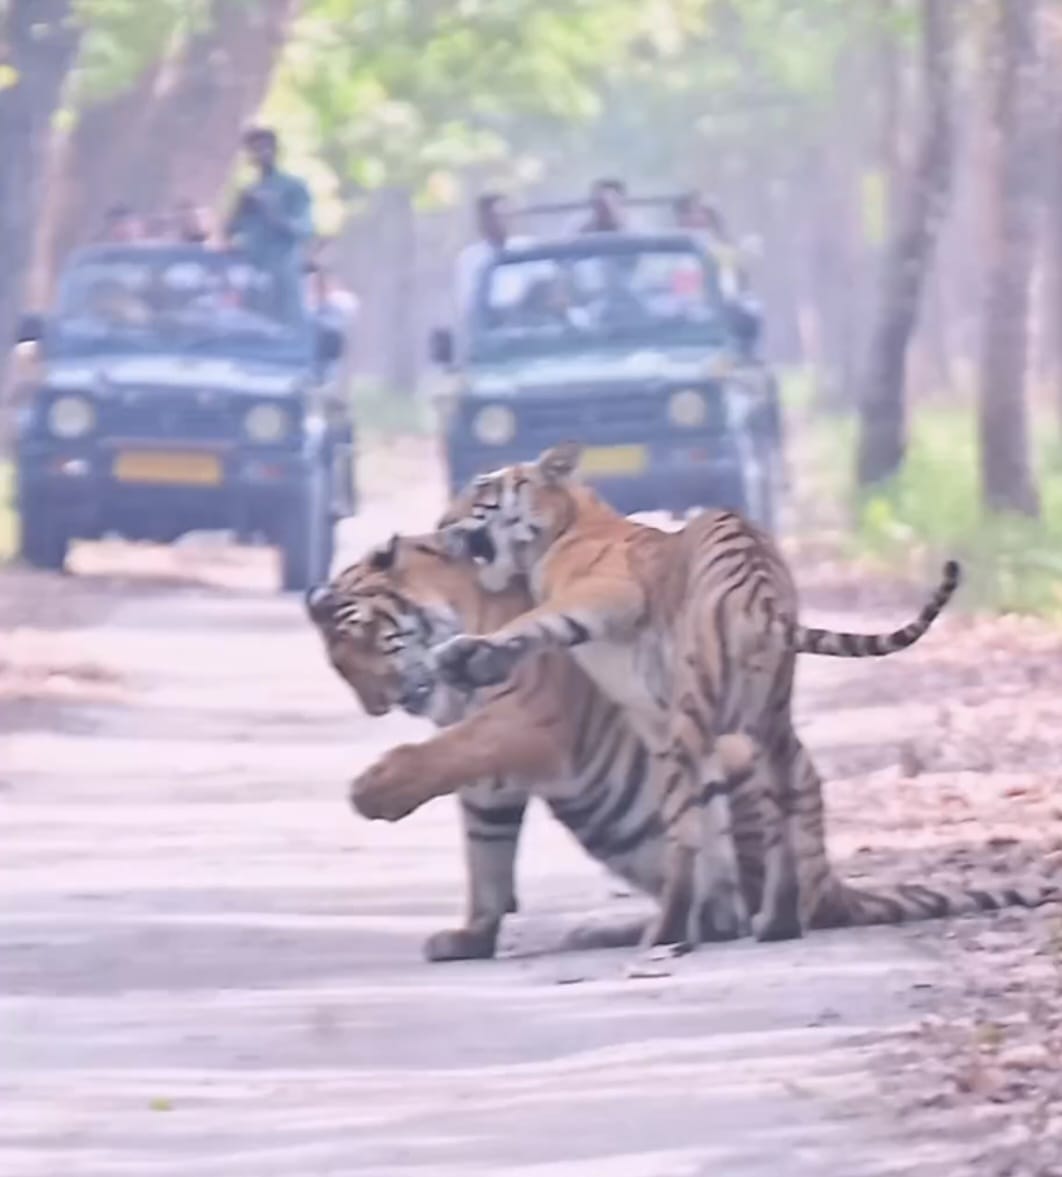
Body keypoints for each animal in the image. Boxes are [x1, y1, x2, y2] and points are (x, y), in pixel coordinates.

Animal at [307, 525, 1053, 963]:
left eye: (359, 636)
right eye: (339, 666)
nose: (378, 703)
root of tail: (834, 886)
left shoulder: (524, 720)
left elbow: (442, 756)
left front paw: (373, 790)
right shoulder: (492, 783)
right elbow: (485, 857)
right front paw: (469, 937)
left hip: (728, 757)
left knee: (731, 906)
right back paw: (607, 930)